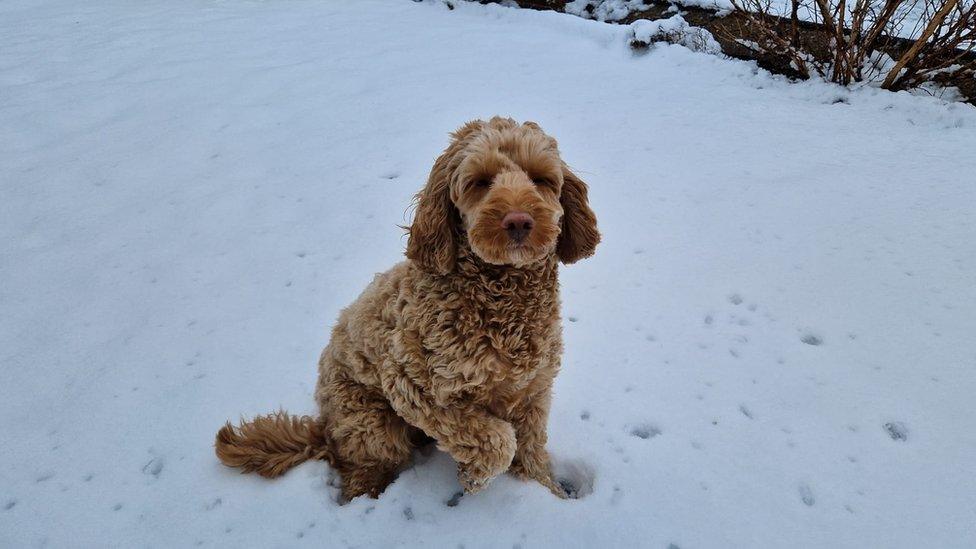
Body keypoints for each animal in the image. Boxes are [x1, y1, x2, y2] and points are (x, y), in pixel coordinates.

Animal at [214, 116, 600, 500]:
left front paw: (544, 490)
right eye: (480, 182)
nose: (518, 221)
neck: (501, 298)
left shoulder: (533, 390)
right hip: (371, 422)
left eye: (540, 179)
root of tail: (324, 427)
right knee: (360, 470)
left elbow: (530, 447)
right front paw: (475, 477)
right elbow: (497, 441)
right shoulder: (415, 386)